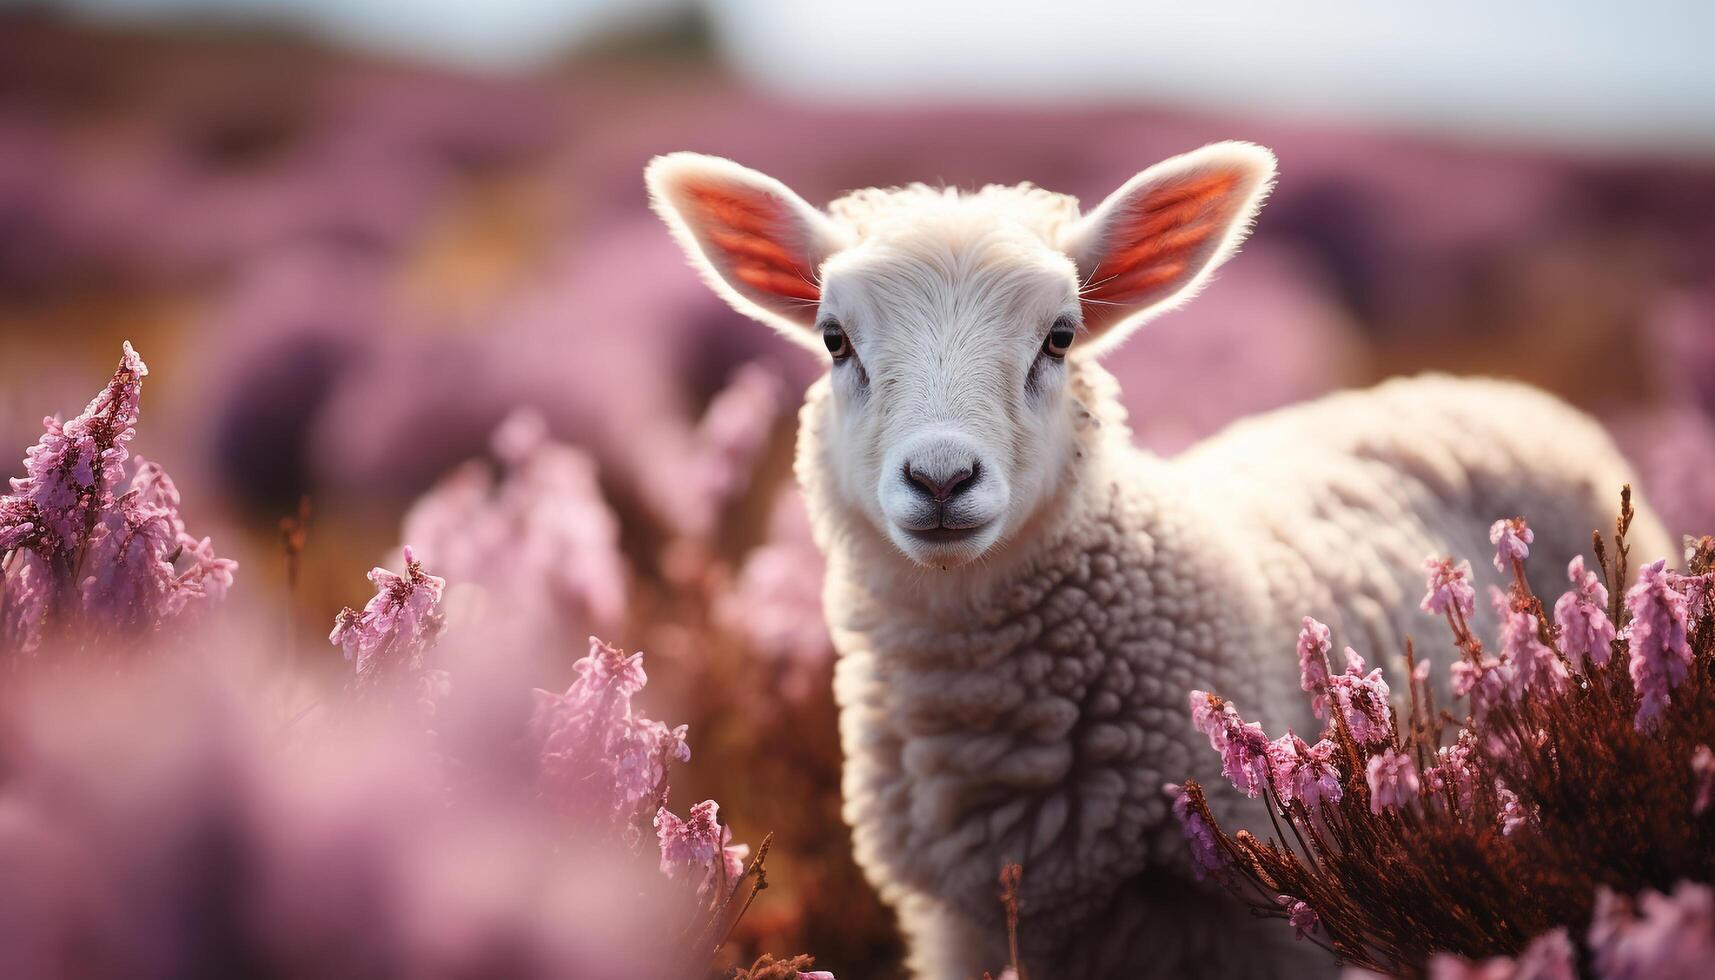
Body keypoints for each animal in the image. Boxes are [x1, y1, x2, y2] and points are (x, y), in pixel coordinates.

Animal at [644, 139, 1673, 980]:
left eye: (1059, 337)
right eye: (834, 339)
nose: (941, 478)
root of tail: (1495, 389)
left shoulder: (1277, 913)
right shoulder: (962, 923)